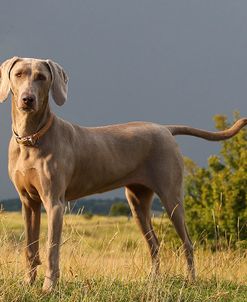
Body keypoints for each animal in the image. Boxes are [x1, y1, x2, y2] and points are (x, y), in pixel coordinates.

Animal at [0, 56, 246, 292]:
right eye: (19, 74)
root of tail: (165, 129)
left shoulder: (55, 203)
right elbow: (30, 248)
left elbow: (51, 249)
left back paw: (191, 281)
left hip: (171, 198)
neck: (30, 139)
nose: (28, 99)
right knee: (154, 244)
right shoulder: (28, 203)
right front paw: (28, 283)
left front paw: (49, 287)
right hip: (137, 202)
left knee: (187, 242)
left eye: (41, 77)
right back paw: (153, 281)